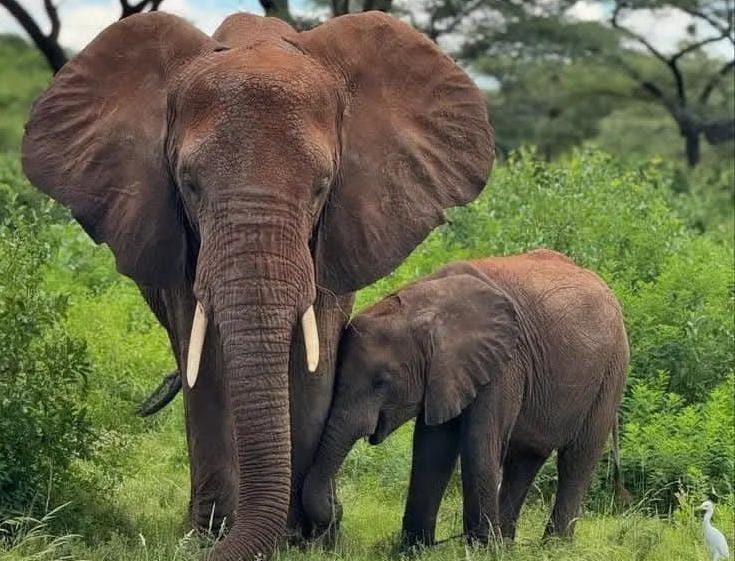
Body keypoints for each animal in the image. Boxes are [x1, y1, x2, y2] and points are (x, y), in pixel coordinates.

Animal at [21, 10, 494, 560]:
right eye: (189, 184)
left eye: (322, 187)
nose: (323, 522)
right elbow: (204, 361)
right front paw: (210, 533)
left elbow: (316, 356)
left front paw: (304, 539)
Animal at [302, 249, 629, 546]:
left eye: (381, 382)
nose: (337, 509)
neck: (427, 307)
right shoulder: (445, 373)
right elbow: (432, 449)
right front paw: (414, 549)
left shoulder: (504, 363)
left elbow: (478, 443)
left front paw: (479, 550)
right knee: (525, 458)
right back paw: (506, 544)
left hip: (611, 372)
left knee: (577, 458)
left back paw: (551, 546)